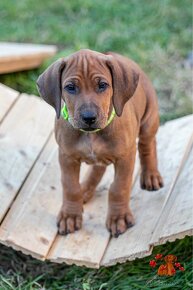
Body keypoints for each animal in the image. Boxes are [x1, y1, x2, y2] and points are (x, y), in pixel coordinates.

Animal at [36, 48, 163, 237]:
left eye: (102, 85)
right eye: (70, 87)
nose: (89, 117)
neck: (92, 134)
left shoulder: (126, 157)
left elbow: (119, 187)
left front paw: (119, 217)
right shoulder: (66, 156)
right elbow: (70, 186)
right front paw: (70, 215)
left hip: (149, 119)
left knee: (147, 145)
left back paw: (151, 175)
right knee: (98, 167)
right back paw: (86, 189)